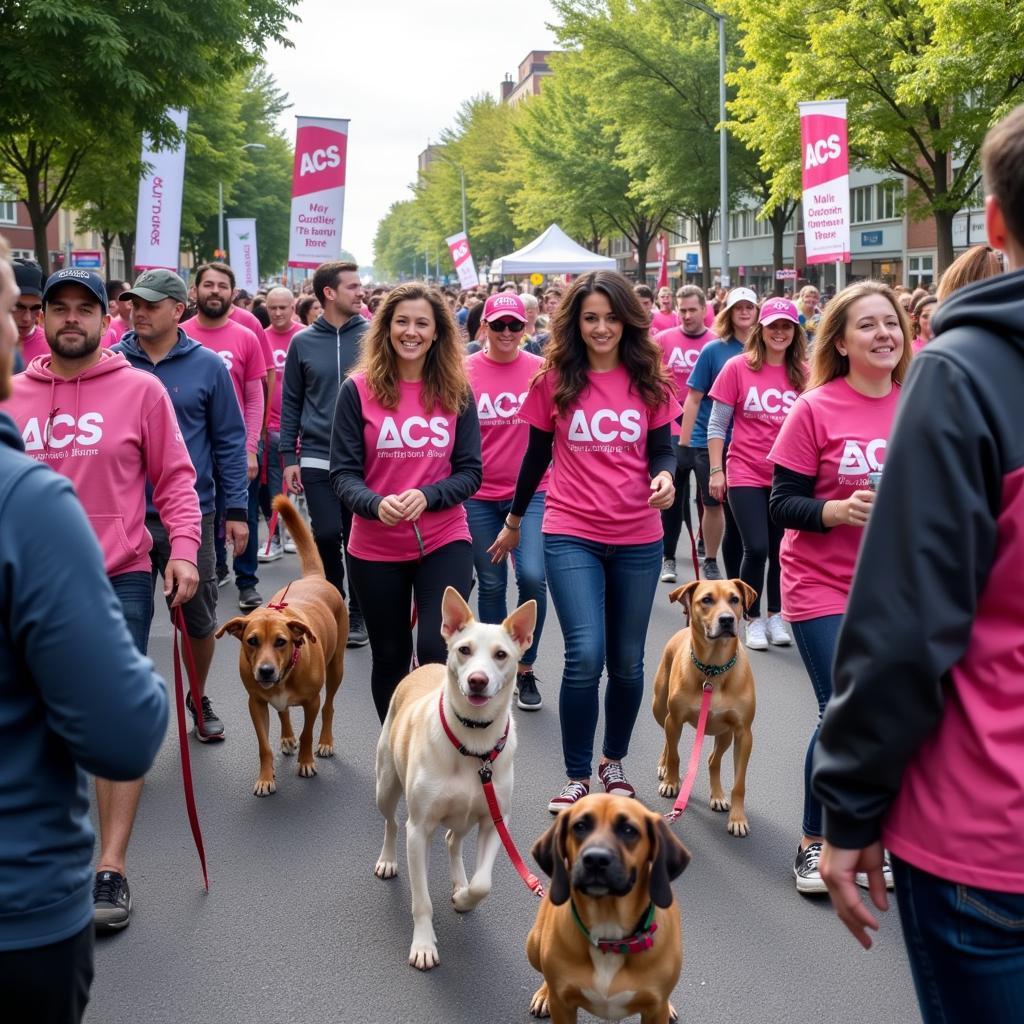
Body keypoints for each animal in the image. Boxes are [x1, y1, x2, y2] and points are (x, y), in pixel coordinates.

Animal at [216, 491, 348, 794]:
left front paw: (307, 761)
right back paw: (287, 737)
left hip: (336, 667)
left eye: (281, 642)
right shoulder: (255, 704)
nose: (265, 671)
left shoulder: (312, 702)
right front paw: (266, 777)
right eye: (252, 641)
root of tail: (313, 578)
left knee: (329, 706)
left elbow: (308, 732)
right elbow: (264, 745)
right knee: (283, 712)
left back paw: (326, 741)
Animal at [374, 589, 536, 970]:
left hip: (465, 816)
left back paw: (458, 882)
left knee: (452, 841)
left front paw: (464, 897)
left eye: (501, 655)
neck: (474, 746)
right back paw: (388, 859)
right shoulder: (418, 831)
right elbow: (421, 901)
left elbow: (483, 884)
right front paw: (423, 944)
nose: (477, 680)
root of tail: (423, 666)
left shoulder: (495, 822)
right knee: (391, 822)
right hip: (385, 786)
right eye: (464, 650)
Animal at [528, 790, 688, 1024]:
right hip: (533, 945)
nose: (595, 859)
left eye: (628, 830)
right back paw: (544, 994)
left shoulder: (654, 1012)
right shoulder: (563, 1008)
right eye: (580, 826)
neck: (609, 936)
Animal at [651, 581, 757, 835]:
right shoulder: (675, 719)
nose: (727, 619)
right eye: (707, 600)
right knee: (668, 742)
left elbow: (739, 784)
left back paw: (717, 795)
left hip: (725, 734)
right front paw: (671, 781)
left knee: (712, 760)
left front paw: (737, 818)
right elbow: (675, 756)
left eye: (735, 599)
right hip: (660, 710)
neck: (713, 669)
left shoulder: (743, 734)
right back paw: (664, 768)